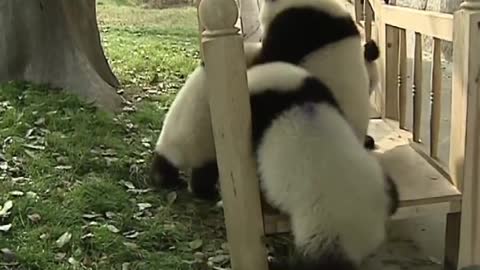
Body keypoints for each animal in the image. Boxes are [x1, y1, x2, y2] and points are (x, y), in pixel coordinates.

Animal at [150, 41, 262, 198]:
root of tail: (181, 155)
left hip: (171, 143)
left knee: (164, 164)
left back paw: (163, 178)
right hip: (206, 148)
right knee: (205, 175)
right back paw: (207, 192)